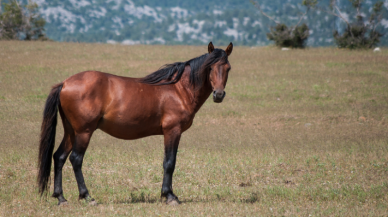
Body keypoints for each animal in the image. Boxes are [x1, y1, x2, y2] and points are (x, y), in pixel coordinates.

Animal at [37, 41, 233, 205]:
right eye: (210, 67)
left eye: (228, 68)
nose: (219, 94)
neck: (178, 89)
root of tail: (65, 83)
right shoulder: (172, 131)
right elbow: (170, 162)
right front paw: (169, 196)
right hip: (84, 132)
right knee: (76, 159)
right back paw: (87, 196)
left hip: (71, 131)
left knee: (59, 157)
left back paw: (61, 198)